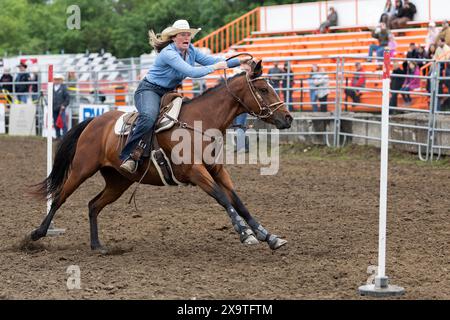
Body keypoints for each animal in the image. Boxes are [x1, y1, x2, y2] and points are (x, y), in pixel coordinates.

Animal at [29, 60, 294, 252]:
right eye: (263, 89)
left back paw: (97, 246)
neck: (199, 123)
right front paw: (245, 233)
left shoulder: (217, 170)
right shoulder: (195, 171)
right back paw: (37, 234)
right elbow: (222, 198)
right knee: (60, 197)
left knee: (93, 205)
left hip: (119, 181)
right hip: (81, 169)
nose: (288, 118)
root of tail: (93, 121)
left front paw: (268, 236)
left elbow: (238, 201)